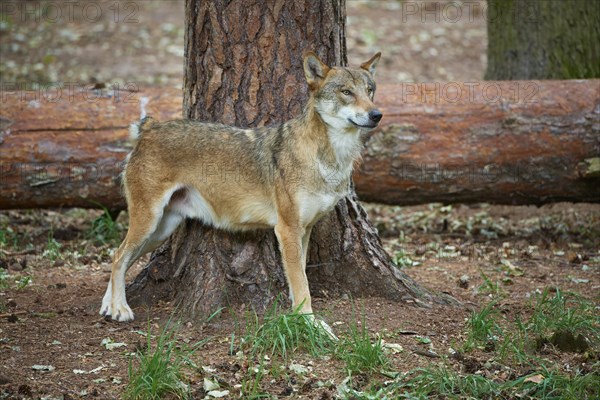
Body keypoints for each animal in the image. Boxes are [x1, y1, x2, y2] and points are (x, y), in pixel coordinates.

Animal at [100, 51, 382, 324]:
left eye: (370, 90)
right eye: (346, 92)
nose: (377, 114)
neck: (331, 158)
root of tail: (150, 127)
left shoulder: (304, 230)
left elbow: (299, 277)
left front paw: (297, 316)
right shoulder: (287, 230)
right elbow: (302, 285)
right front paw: (312, 324)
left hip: (160, 230)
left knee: (120, 257)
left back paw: (108, 306)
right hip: (149, 223)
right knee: (119, 256)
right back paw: (120, 309)